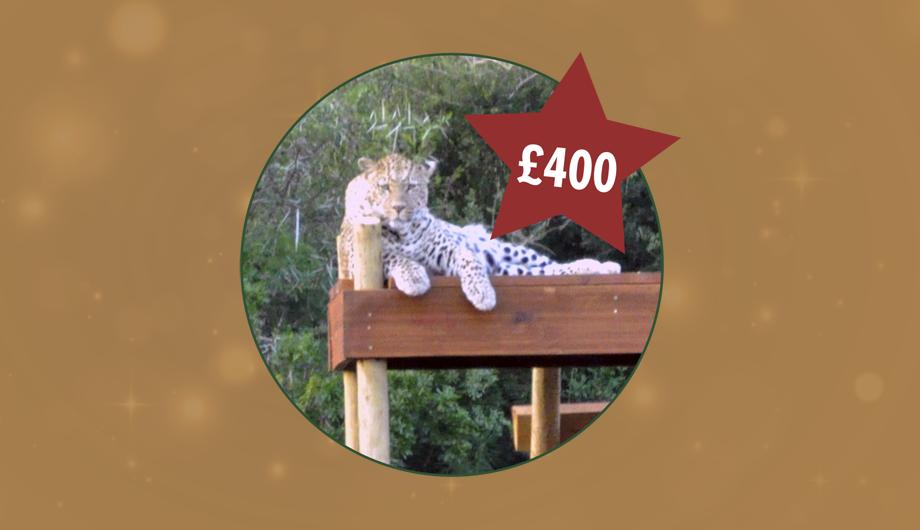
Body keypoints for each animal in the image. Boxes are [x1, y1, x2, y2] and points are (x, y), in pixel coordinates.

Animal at [338, 153, 621, 312]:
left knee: (549, 265)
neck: (403, 233)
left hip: (505, 249)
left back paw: (602, 266)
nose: (398, 208)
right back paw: (598, 267)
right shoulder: (353, 261)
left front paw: (481, 293)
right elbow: (394, 257)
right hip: (507, 269)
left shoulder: (449, 251)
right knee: (544, 272)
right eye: (384, 187)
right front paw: (414, 277)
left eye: (411, 187)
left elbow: (469, 258)